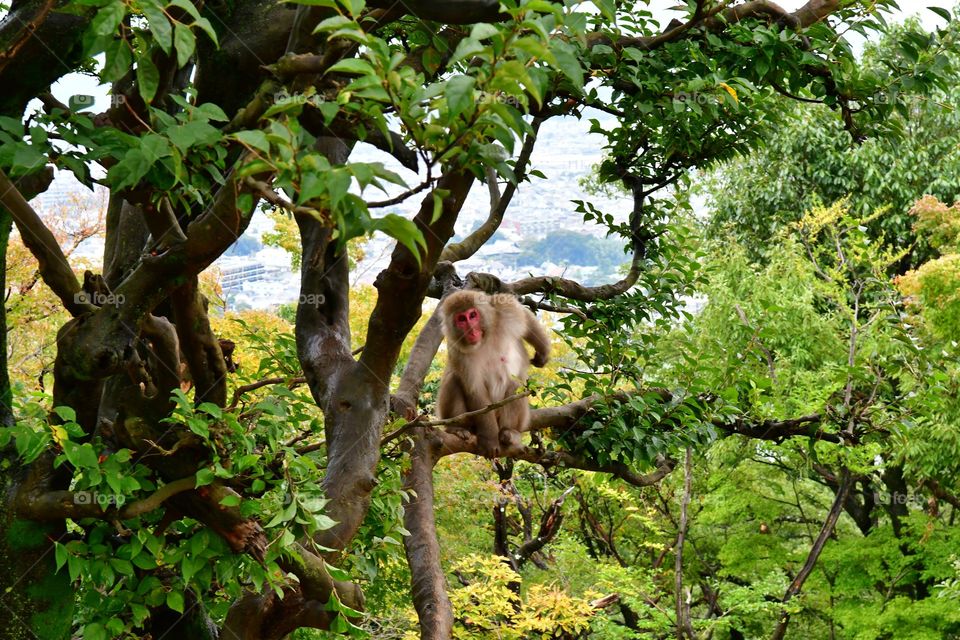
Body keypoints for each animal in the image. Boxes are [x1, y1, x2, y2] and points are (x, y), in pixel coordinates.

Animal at [437, 290, 551, 458]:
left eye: (472, 315)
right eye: (461, 319)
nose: (471, 330)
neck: (484, 339)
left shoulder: (504, 311)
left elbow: (525, 319)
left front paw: (543, 353)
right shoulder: (457, 351)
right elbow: (475, 390)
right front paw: (489, 440)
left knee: (515, 386)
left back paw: (509, 432)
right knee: (453, 379)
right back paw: (457, 428)